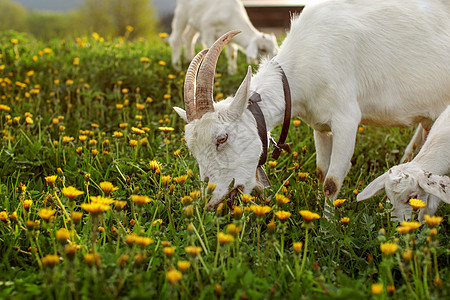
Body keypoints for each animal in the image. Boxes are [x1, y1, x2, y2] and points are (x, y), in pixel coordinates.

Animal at [173, 0, 450, 210]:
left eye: (222, 138)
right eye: (191, 150)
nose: (211, 201)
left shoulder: (346, 119)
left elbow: (332, 182)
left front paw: (327, 229)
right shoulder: (320, 125)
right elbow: (320, 172)